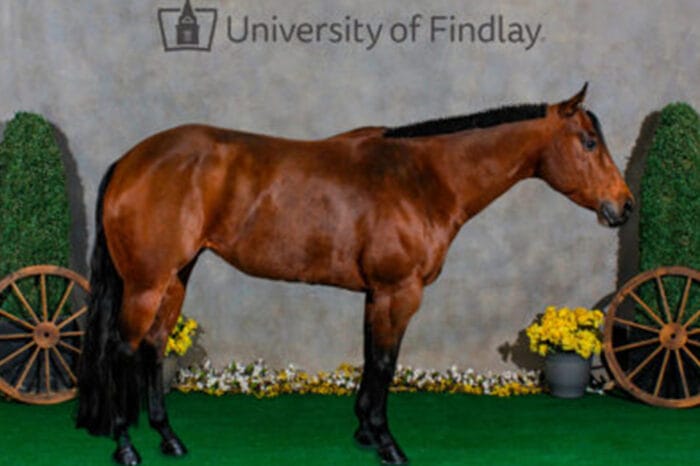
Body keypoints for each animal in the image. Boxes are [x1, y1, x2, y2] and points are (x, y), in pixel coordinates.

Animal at [76, 83, 633, 465]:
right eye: (588, 142)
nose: (623, 207)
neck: (423, 178)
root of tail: (131, 159)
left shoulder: (376, 294)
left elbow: (370, 359)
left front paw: (365, 432)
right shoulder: (399, 292)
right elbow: (385, 362)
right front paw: (388, 444)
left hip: (175, 277)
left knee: (152, 349)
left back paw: (170, 439)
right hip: (145, 283)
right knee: (121, 351)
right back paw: (126, 447)